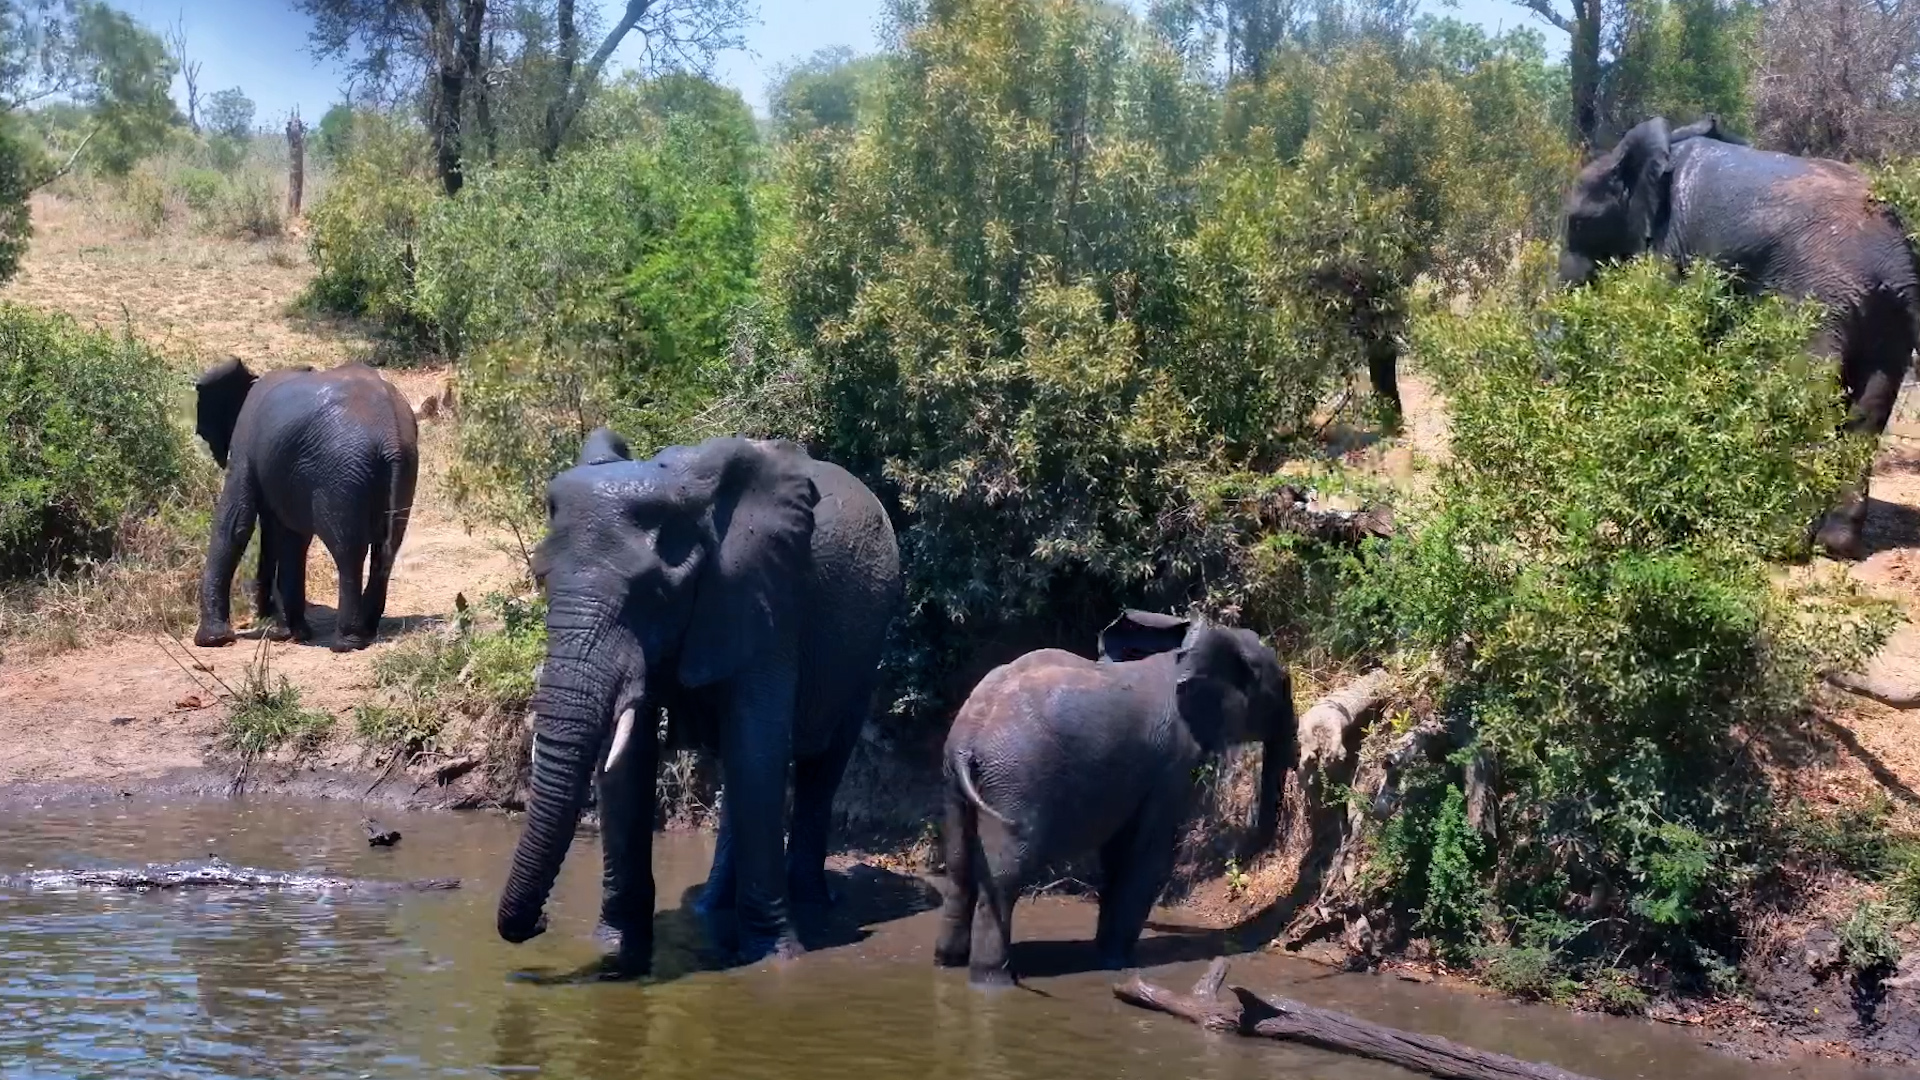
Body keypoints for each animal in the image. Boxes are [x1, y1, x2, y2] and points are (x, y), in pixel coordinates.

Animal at [193, 359, 418, 652]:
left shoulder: (244, 442)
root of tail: (390, 435)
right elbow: (289, 537)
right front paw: (290, 632)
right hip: (403, 468)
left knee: (347, 549)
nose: (262, 613)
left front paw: (212, 640)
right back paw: (365, 631)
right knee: (386, 549)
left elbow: (235, 522)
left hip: (342, 471)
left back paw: (345, 643)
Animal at [494, 429, 902, 974]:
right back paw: (712, 907)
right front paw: (616, 949)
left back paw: (813, 906)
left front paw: (775, 960)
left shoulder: (764, 598)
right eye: (542, 579)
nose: (539, 923)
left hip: (866, 644)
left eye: (651, 592)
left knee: (821, 765)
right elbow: (631, 761)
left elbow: (758, 749)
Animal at [934, 619, 1296, 987]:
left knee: (959, 867)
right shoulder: (1170, 764)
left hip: (955, 781)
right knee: (1006, 876)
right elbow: (1147, 853)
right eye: (1281, 686)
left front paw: (1106, 953)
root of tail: (968, 740)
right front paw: (1117, 960)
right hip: (1015, 779)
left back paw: (947, 962)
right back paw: (993, 981)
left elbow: (1117, 853)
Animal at [1558, 115, 1920, 559]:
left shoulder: (1671, 243)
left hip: (1814, 298)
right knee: (1869, 409)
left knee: (1800, 393)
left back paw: (1779, 541)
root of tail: (1887, 259)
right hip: (1891, 316)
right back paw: (1834, 546)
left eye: (1577, 222)